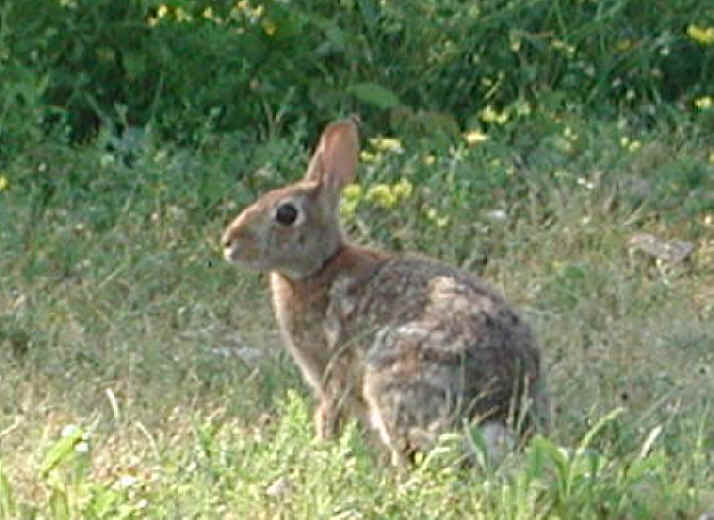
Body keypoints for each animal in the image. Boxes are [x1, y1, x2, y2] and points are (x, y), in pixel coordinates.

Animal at [221, 117, 550, 464]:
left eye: (286, 214)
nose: (228, 241)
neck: (321, 265)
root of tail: (500, 411)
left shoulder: (331, 373)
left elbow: (329, 414)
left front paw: (322, 448)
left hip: (395, 380)